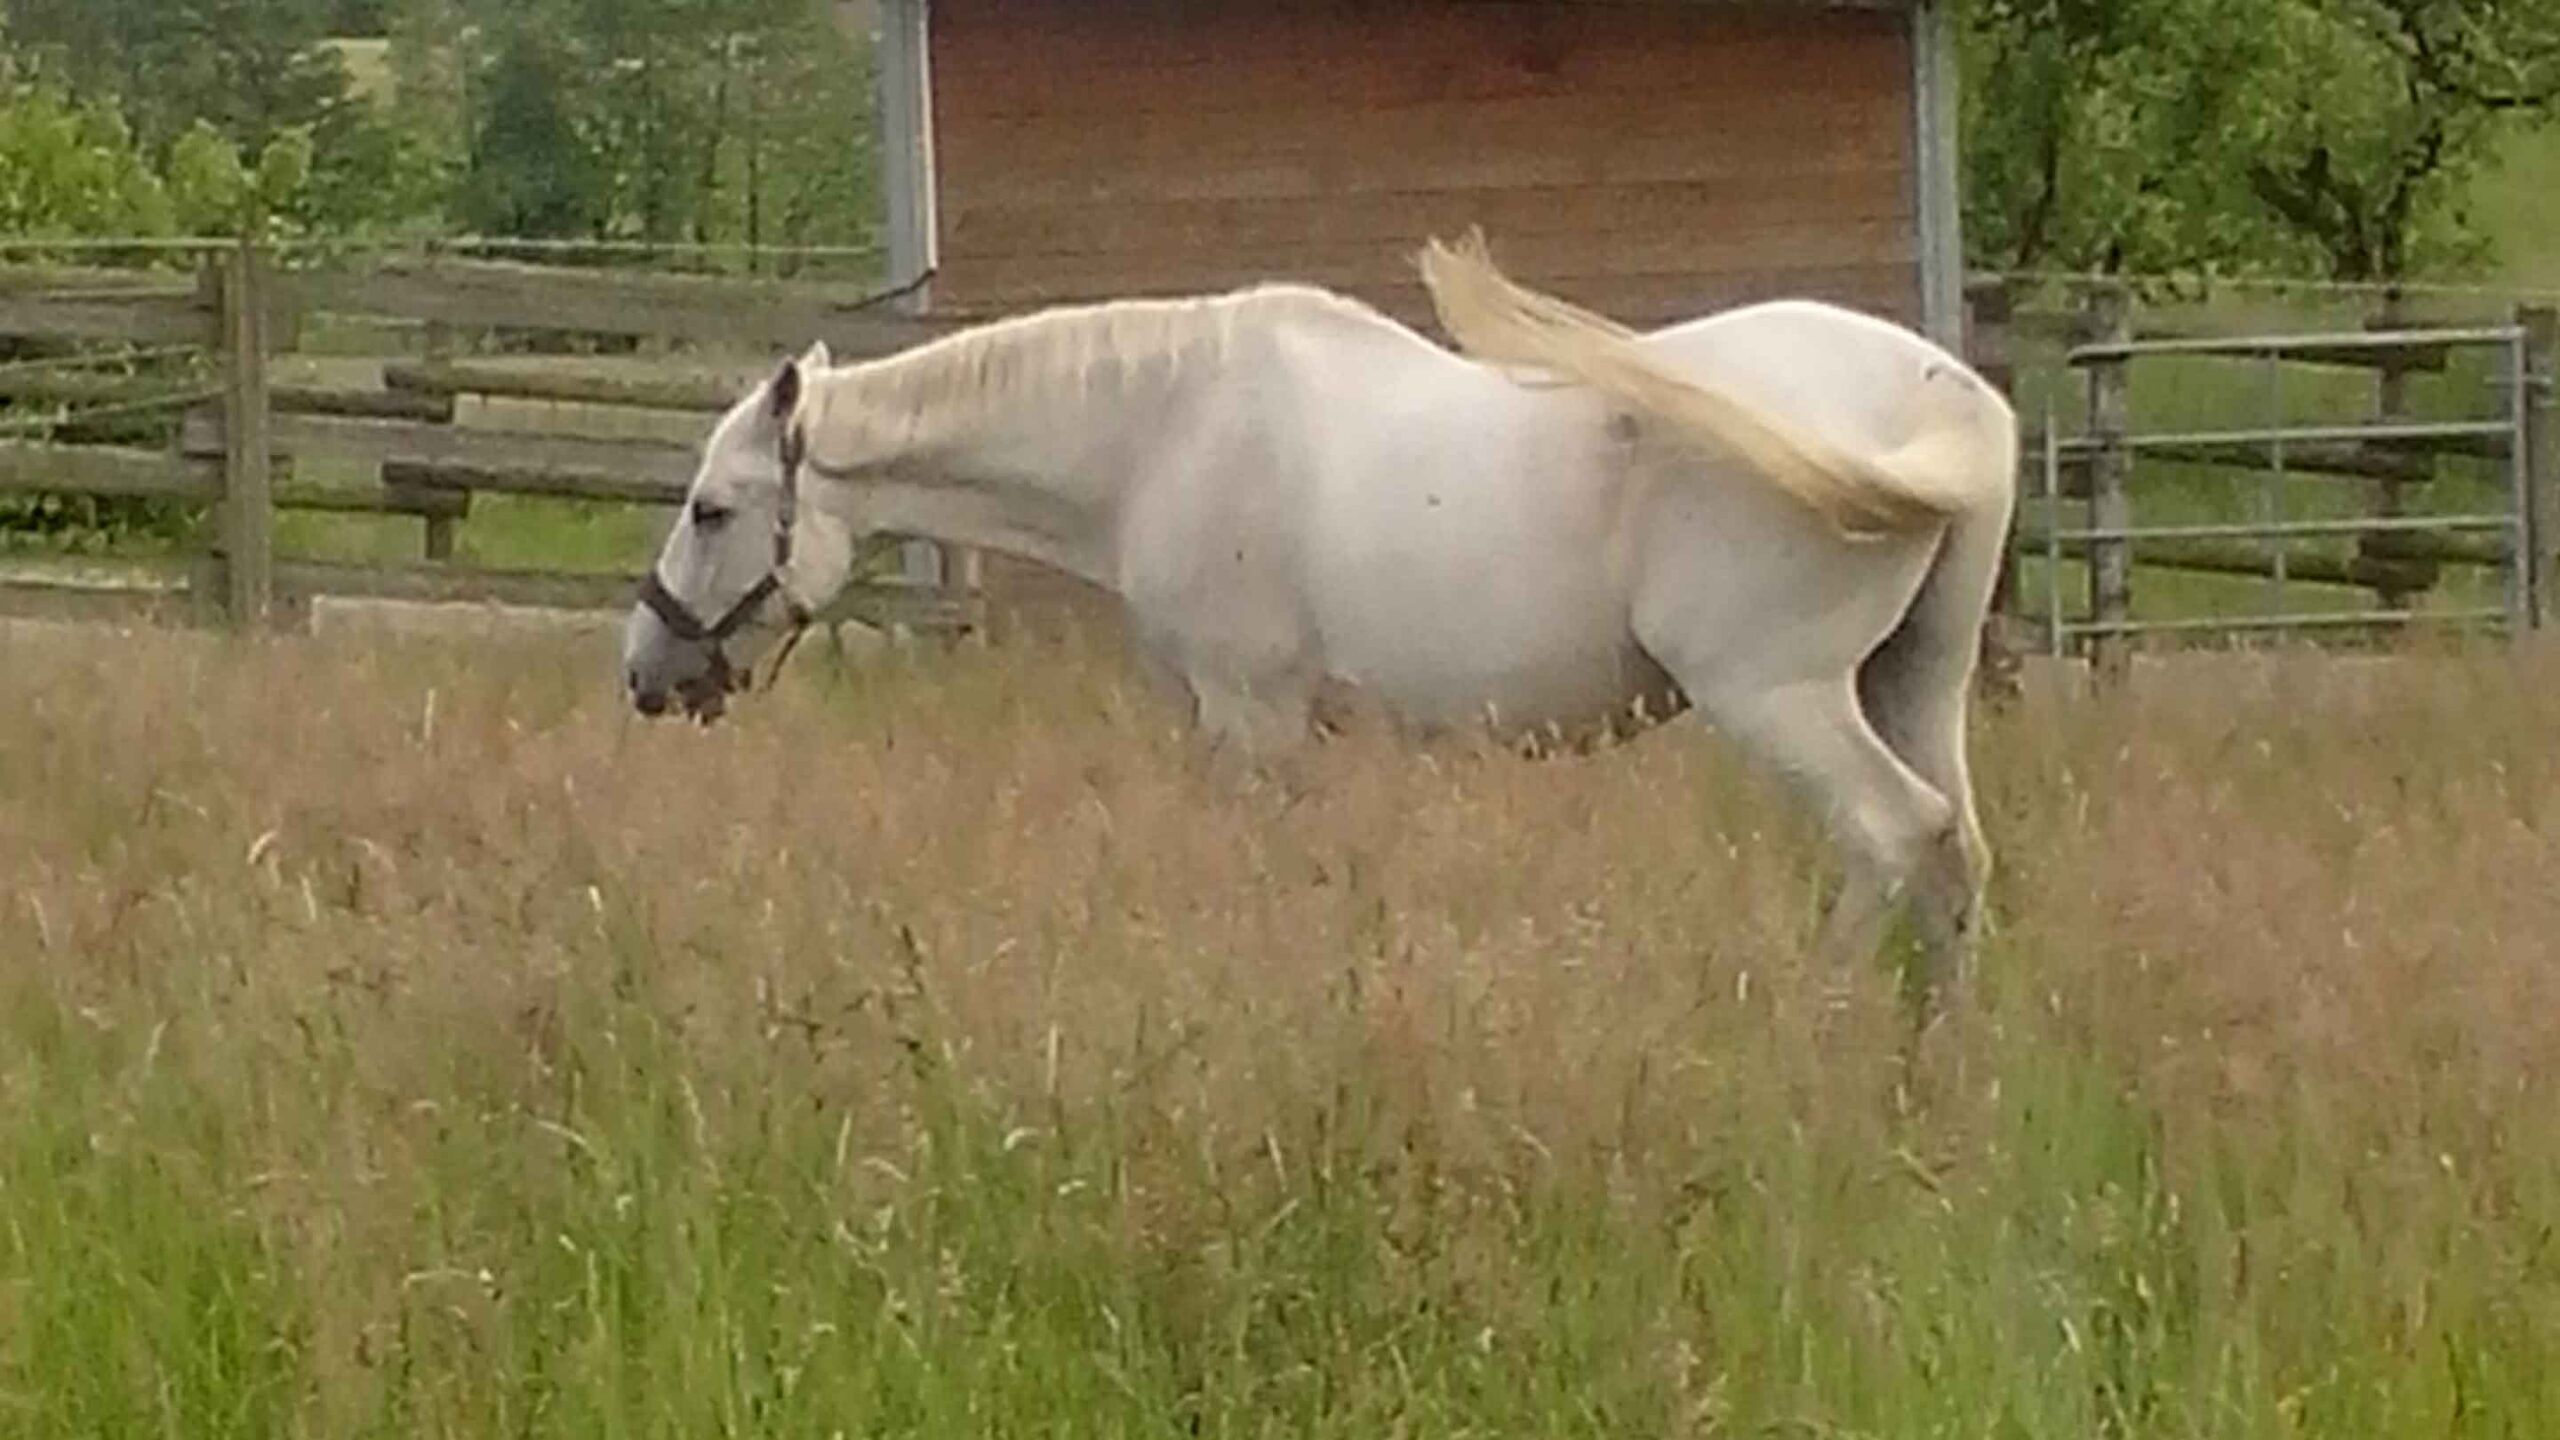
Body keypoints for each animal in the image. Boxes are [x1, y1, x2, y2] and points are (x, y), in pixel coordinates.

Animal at [622, 234, 2019, 1013]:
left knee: (1889, 836)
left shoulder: (1252, 722)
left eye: (709, 508)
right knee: (1953, 850)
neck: (1163, 431)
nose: (646, 674)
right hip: (1913, 682)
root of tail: (1943, 398)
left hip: (1777, 696)